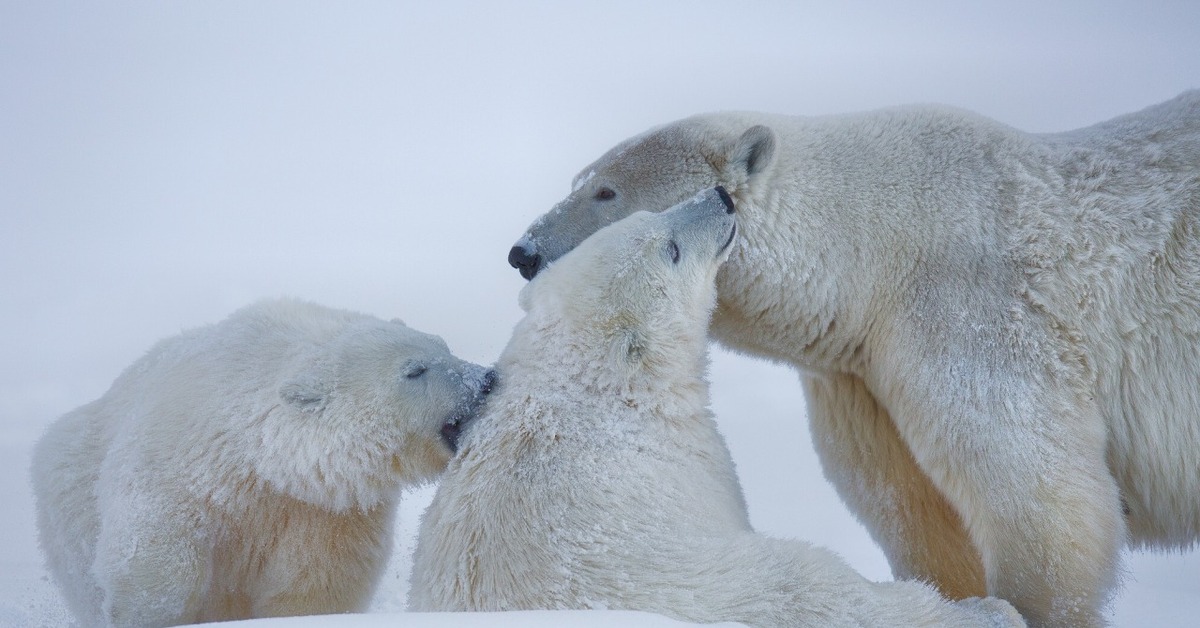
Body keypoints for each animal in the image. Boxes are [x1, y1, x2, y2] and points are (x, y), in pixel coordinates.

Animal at [30, 300, 494, 628]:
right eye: (414, 370)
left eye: (443, 345)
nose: (484, 378)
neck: (261, 460)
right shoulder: (180, 459)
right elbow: (154, 548)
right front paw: (147, 615)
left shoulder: (323, 512)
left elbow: (317, 584)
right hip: (68, 488)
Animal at [410, 189, 1022, 628]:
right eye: (672, 250)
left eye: (653, 210)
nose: (722, 196)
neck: (588, 386)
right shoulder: (690, 465)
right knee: (812, 584)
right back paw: (981, 613)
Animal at [506, 90, 1200, 624]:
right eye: (580, 180)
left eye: (606, 190)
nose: (523, 251)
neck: (884, 246)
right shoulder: (859, 372)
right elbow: (912, 506)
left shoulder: (971, 309)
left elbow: (1035, 484)